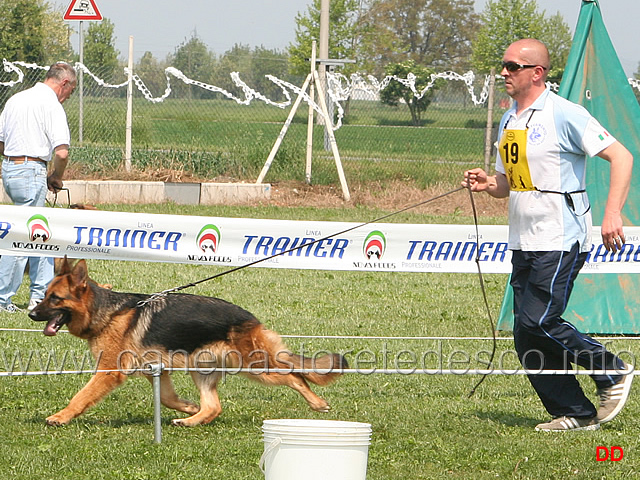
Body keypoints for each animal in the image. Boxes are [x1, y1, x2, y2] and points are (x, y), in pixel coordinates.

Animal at [28, 258, 348, 428]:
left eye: (55, 299)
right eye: (44, 295)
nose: (31, 314)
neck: (107, 312)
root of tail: (252, 320)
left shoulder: (109, 372)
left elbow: (80, 396)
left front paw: (61, 416)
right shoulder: (156, 371)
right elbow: (167, 398)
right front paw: (189, 408)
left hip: (256, 367)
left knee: (295, 375)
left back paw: (317, 403)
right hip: (202, 369)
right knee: (215, 406)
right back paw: (193, 420)